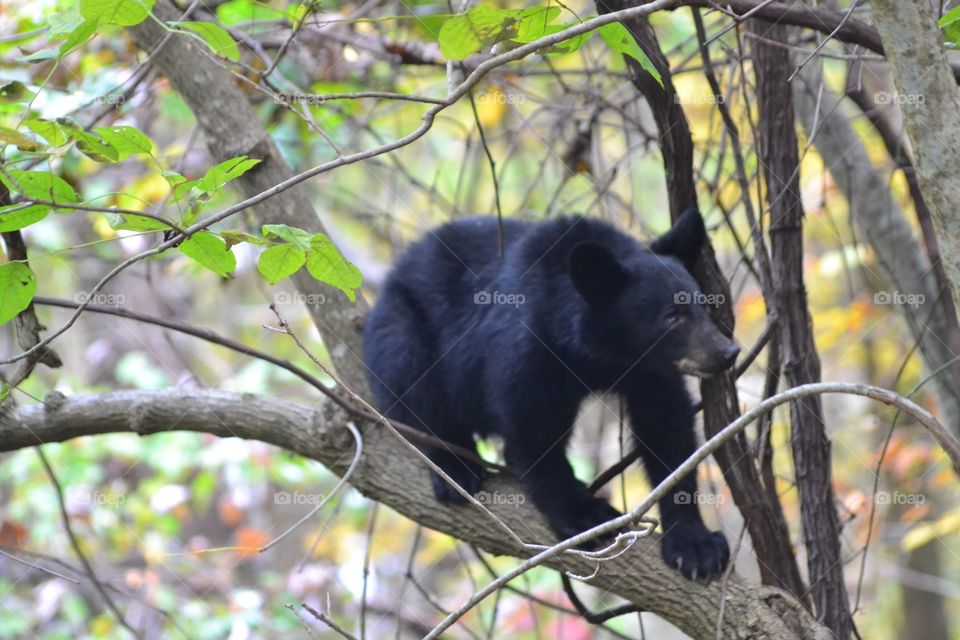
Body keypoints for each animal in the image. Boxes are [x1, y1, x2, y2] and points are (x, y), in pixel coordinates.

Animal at [362, 209, 738, 580]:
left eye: (704, 306)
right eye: (672, 317)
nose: (727, 352)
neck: (599, 354)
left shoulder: (649, 369)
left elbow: (667, 429)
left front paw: (696, 544)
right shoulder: (527, 348)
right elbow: (531, 426)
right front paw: (586, 515)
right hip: (403, 325)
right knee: (411, 380)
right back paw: (454, 467)